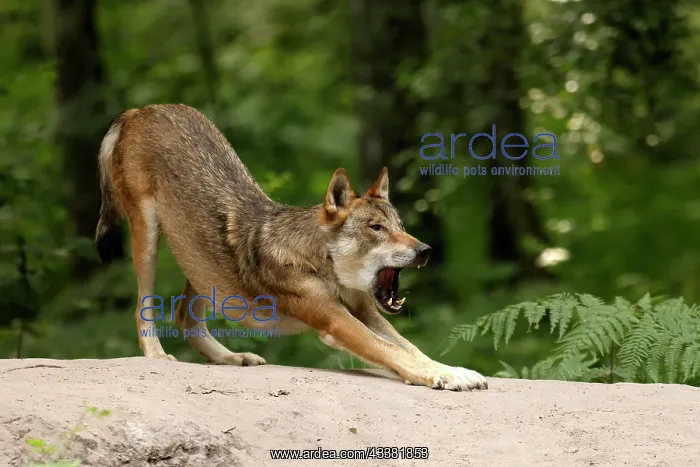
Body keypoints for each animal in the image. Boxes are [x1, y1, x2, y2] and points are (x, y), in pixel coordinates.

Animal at [95, 104, 487, 391]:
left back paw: (231, 358)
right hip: (148, 239)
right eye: (376, 228)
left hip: (200, 262)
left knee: (185, 316)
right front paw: (443, 376)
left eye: (401, 227)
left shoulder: (366, 312)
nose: (425, 250)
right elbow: (392, 351)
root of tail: (140, 109)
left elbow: (410, 348)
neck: (322, 263)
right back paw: (157, 356)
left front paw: (454, 371)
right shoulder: (335, 319)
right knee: (143, 308)